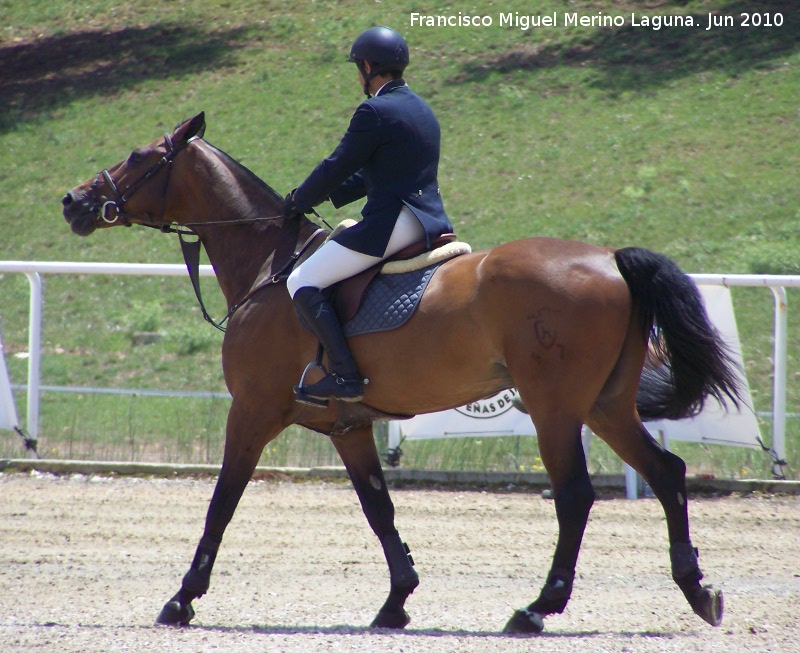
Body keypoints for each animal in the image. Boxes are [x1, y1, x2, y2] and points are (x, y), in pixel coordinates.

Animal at [62, 111, 744, 632]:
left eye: (139, 155)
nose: (74, 202)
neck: (270, 268)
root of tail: (609, 258)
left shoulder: (252, 412)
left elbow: (221, 503)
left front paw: (181, 599)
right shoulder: (349, 427)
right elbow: (379, 509)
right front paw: (396, 602)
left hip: (555, 408)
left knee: (575, 495)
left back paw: (535, 609)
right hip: (605, 405)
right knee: (667, 472)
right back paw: (698, 592)